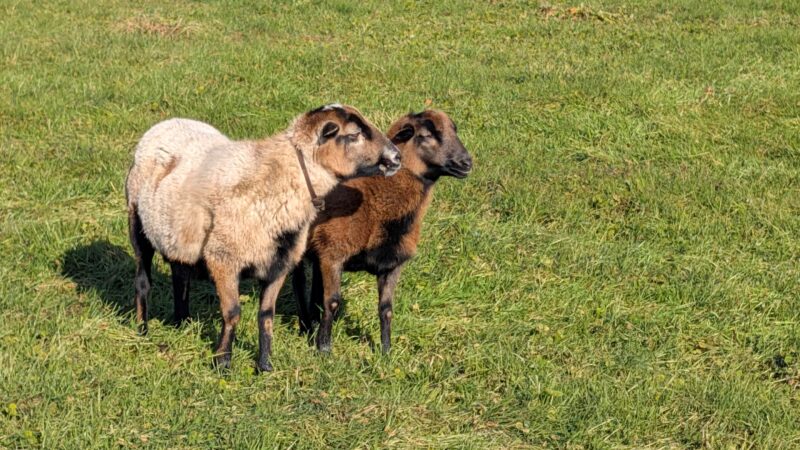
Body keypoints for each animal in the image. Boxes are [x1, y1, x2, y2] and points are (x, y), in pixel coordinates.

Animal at [125, 103, 400, 370]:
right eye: (353, 135)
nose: (396, 156)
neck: (276, 178)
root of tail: (167, 122)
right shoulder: (223, 257)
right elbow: (232, 312)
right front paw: (222, 362)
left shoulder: (279, 263)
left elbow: (266, 315)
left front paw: (265, 364)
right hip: (135, 219)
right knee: (142, 280)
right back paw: (142, 331)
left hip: (179, 237)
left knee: (180, 274)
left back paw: (181, 323)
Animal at [290, 110, 472, 356]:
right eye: (426, 135)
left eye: (455, 130)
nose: (466, 163)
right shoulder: (334, 253)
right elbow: (333, 302)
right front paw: (324, 349)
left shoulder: (392, 264)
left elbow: (386, 309)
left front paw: (386, 351)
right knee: (299, 284)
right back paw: (306, 327)